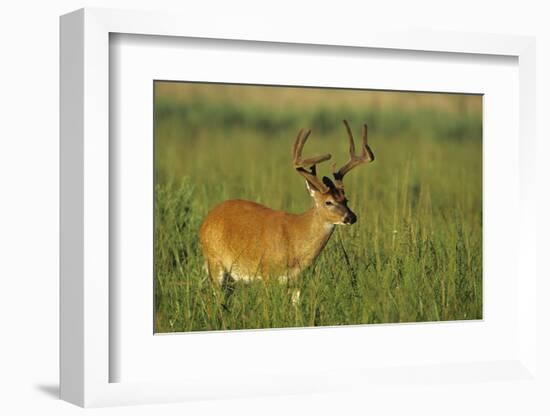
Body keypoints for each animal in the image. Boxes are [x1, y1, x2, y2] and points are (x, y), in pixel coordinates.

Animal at [198, 120, 376, 290]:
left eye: (346, 199)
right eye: (328, 202)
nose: (351, 217)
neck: (296, 240)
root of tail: (206, 220)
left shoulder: (298, 280)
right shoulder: (267, 272)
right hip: (214, 262)